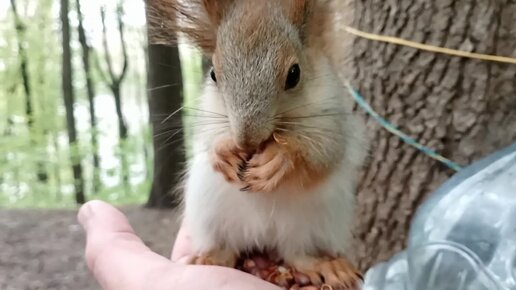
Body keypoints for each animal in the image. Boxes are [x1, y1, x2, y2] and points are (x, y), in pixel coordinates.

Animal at [163, 1, 368, 288]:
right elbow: (207, 137)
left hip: (317, 223)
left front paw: (280, 159)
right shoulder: (207, 112)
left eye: (294, 74)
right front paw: (223, 152)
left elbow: (325, 149)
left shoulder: (332, 116)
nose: (246, 139)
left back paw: (327, 266)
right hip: (209, 213)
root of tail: (262, 237)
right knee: (228, 246)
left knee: (299, 254)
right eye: (213, 74)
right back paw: (212, 258)